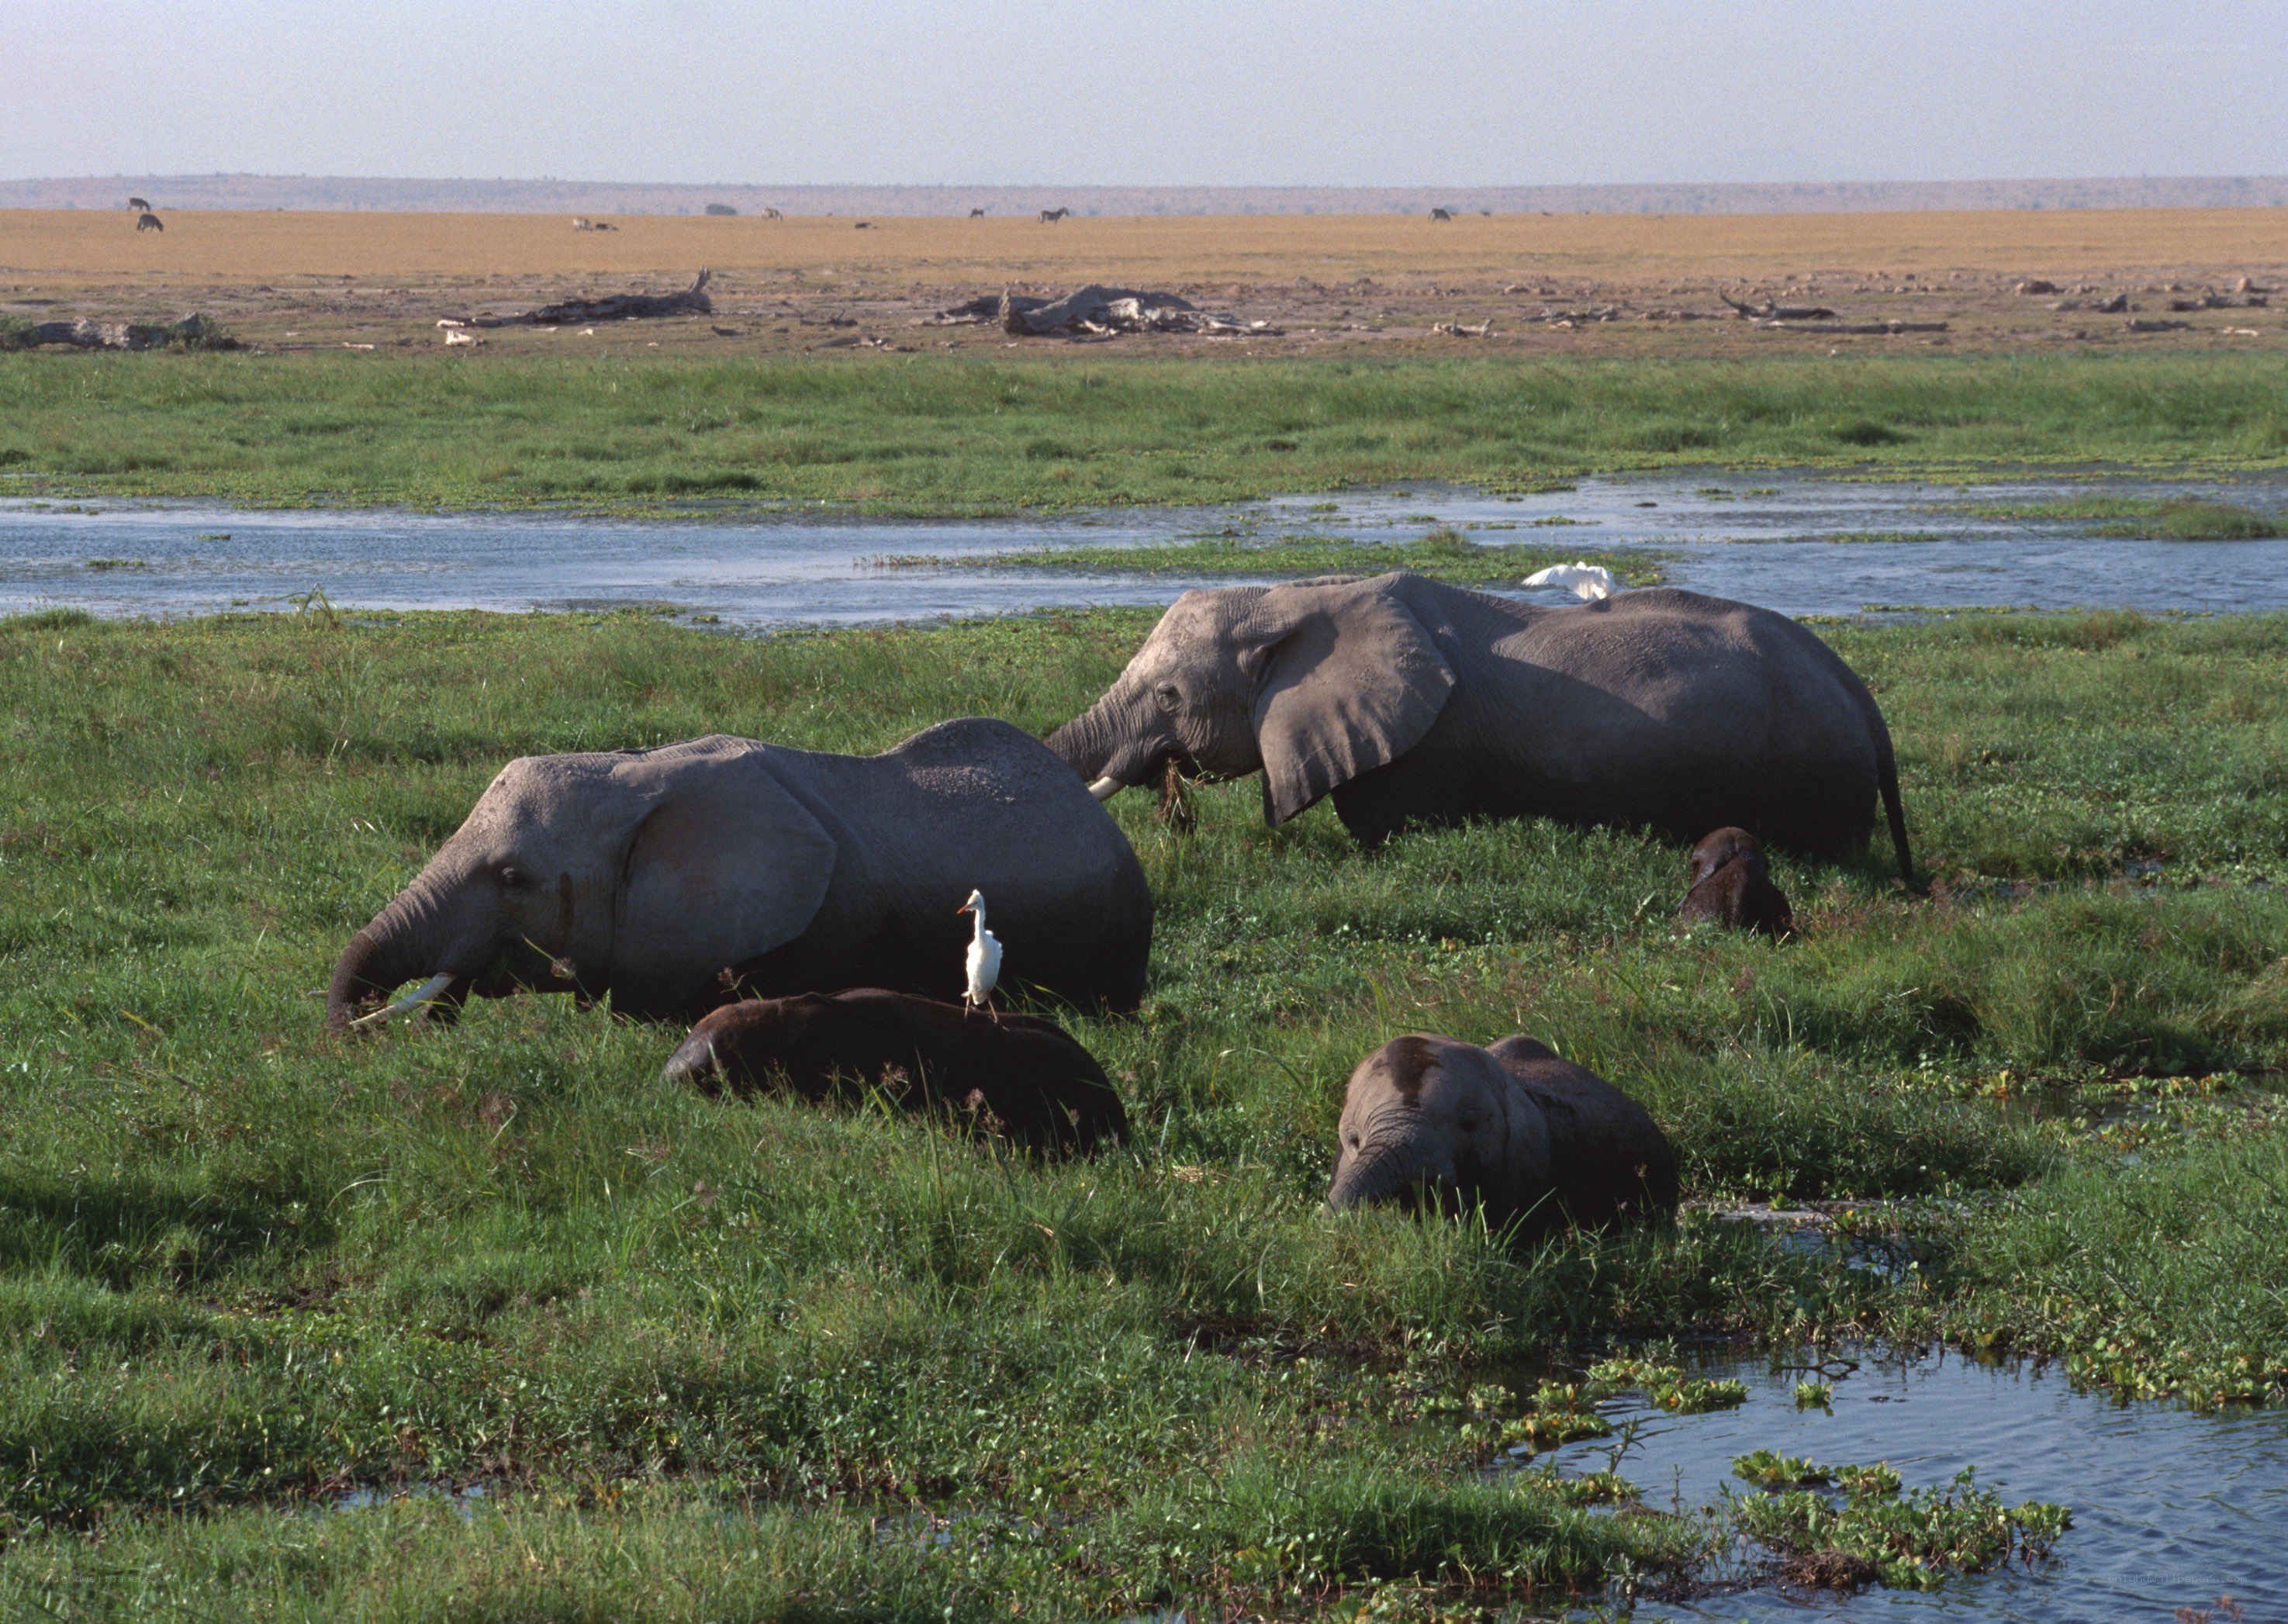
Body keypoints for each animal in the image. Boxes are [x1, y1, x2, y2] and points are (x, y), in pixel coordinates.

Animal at [1046, 573, 1912, 879]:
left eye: (1168, 697)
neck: (1296, 597)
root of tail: (1854, 687)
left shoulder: (1419, 749)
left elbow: (1383, 831)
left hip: (1811, 773)